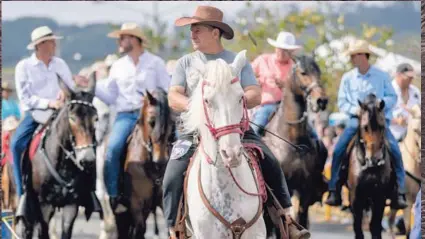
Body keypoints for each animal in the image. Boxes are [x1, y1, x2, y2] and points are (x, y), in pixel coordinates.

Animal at [113, 89, 175, 239]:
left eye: (171, 122)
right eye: (151, 122)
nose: (160, 160)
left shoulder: (163, 201)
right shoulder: (136, 202)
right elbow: (139, 230)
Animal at [262, 55, 328, 231]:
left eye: (319, 72)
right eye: (303, 72)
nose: (321, 101)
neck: (293, 142)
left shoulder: (305, 189)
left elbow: (301, 218)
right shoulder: (285, 187)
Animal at [346, 94, 392, 239]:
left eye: (382, 127)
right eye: (365, 127)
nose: (375, 159)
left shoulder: (380, 197)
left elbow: (375, 227)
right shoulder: (355, 197)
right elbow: (358, 228)